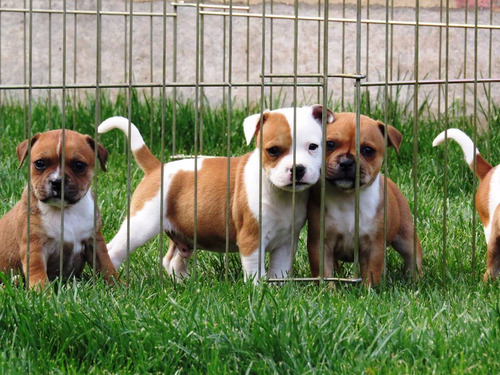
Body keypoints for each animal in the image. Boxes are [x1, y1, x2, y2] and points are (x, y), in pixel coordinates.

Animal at [0, 130, 118, 290]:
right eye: (40, 163)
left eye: (79, 165)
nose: (57, 181)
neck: (65, 210)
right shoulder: (35, 247)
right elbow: (38, 273)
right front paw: (42, 293)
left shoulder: (94, 241)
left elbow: (106, 265)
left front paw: (118, 287)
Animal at [98, 106, 332, 284]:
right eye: (273, 150)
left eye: (313, 146)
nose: (298, 169)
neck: (279, 192)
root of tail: (156, 168)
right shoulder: (251, 240)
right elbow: (255, 273)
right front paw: (258, 292)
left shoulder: (286, 242)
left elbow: (279, 272)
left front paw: (277, 293)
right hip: (141, 224)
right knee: (114, 250)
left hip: (183, 232)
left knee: (172, 260)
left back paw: (184, 285)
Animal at [308, 113, 422, 286]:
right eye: (330, 144)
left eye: (368, 150)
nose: (346, 162)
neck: (347, 196)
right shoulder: (320, 243)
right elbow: (325, 272)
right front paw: (327, 289)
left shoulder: (373, 247)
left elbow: (371, 273)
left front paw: (368, 290)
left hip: (406, 235)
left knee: (413, 257)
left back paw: (415, 281)